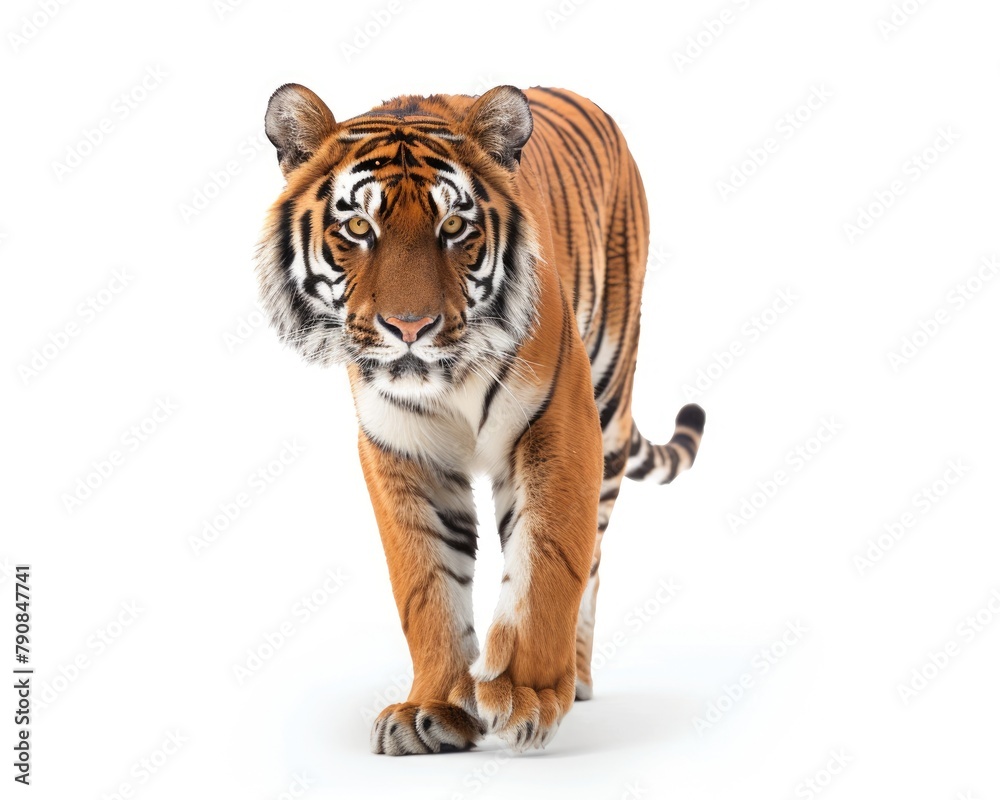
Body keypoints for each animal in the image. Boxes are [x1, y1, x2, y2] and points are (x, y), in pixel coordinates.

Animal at [254, 83, 705, 755]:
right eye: (358, 226)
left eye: (454, 226)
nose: (410, 327)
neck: (447, 375)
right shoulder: (401, 451)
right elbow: (426, 582)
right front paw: (434, 706)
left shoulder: (557, 425)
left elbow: (548, 563)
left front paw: (526, 696)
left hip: (609, 388)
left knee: (593, 557)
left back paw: (574, 677)